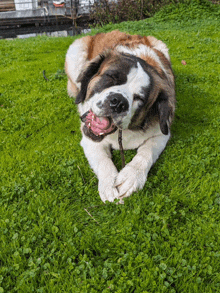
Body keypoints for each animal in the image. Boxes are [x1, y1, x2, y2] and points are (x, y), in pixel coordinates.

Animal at [65, 30, 175, 203]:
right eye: (110, 77)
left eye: (139, 98)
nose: (118, 102)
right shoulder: (89, 138)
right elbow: (102, 159)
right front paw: (109, 185)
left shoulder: (162, 133)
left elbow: (147, 151)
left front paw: (131, 177)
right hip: (75, 51)